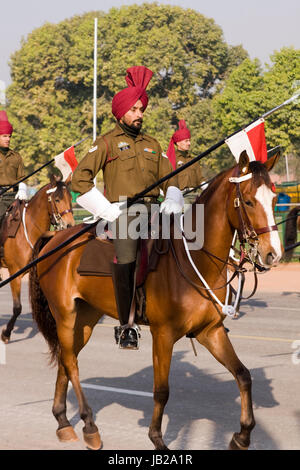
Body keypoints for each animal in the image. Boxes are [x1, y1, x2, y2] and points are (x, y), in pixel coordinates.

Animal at [0, 174, 74, 344]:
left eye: (70, 198)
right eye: (57, 199)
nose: (69, 225)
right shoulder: (14, 273)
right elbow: (17, 308)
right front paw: (6, 333)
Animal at [28, 151, 282, 452]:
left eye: (274, 199)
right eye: (249, 201)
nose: (273, 254)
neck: (193, 259)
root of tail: (55, 237)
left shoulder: (211, 331)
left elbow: (243, 375)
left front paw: (242, 435)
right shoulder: (163, 334)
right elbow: (161, 390)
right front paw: (157, 439)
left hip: (85, 319)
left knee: (67, 360)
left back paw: (63, 422)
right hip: (65, 316)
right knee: (71, 363)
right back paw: (89, 426)